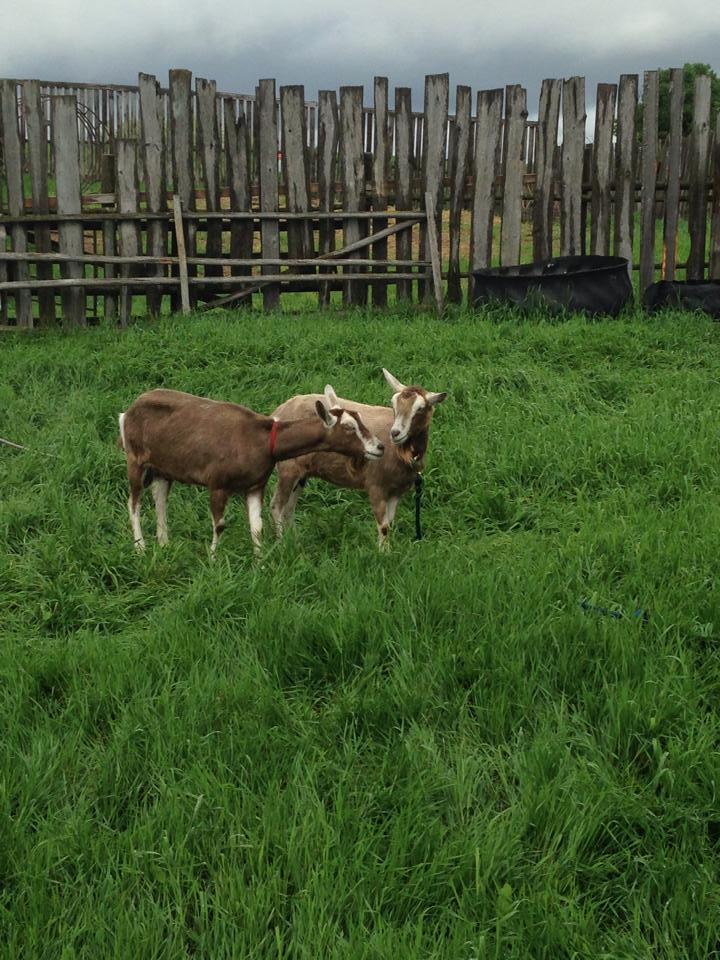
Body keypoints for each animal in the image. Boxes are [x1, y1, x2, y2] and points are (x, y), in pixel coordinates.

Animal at [118, 386, 386, 556]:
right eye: (349, 427)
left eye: (360, 418)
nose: (379, 446)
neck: (261, 440)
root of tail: (127, 412)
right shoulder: (217, 484)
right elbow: (219, 525)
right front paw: (213, 560)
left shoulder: (256, 485)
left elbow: (257, 528)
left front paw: (260, 564)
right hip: (135, 460)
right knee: (134, 502)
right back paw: (140, 548)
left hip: (163, 469)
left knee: (160, 500)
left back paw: (164, 544)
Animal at [272, 370, 448, 548]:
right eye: (393, 404)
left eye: (420, 409)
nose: (395, 433)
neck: (400, 452)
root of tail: (278, 412)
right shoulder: (376, 486)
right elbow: (384, 526)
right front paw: (383, 552)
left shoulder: (396, 491)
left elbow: (390, 523)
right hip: (288, 469)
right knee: (277, 505)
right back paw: (281, 543)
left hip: (301, 473)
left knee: (289, 508)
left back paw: (294, 540)